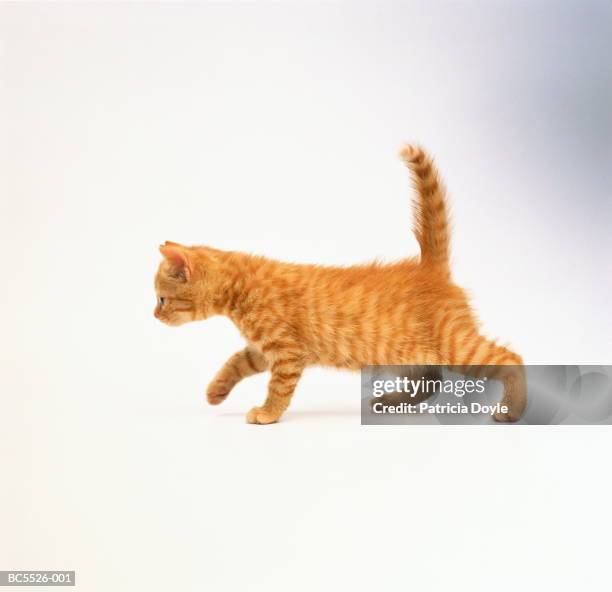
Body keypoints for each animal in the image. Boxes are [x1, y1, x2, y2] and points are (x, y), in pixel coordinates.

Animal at [153, 145, 524, 424]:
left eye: (160, 299)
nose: (154, 317)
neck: (243, 285)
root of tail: (429, 267)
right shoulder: (262, 350)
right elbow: (235, 362)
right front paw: (216, 390)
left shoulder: (287, 351)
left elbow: (278, 388)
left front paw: (268, 414)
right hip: (408, 352)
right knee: (430, 381)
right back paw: (392, 401)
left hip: (455, 343)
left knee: (510, 357)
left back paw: (511, 409)